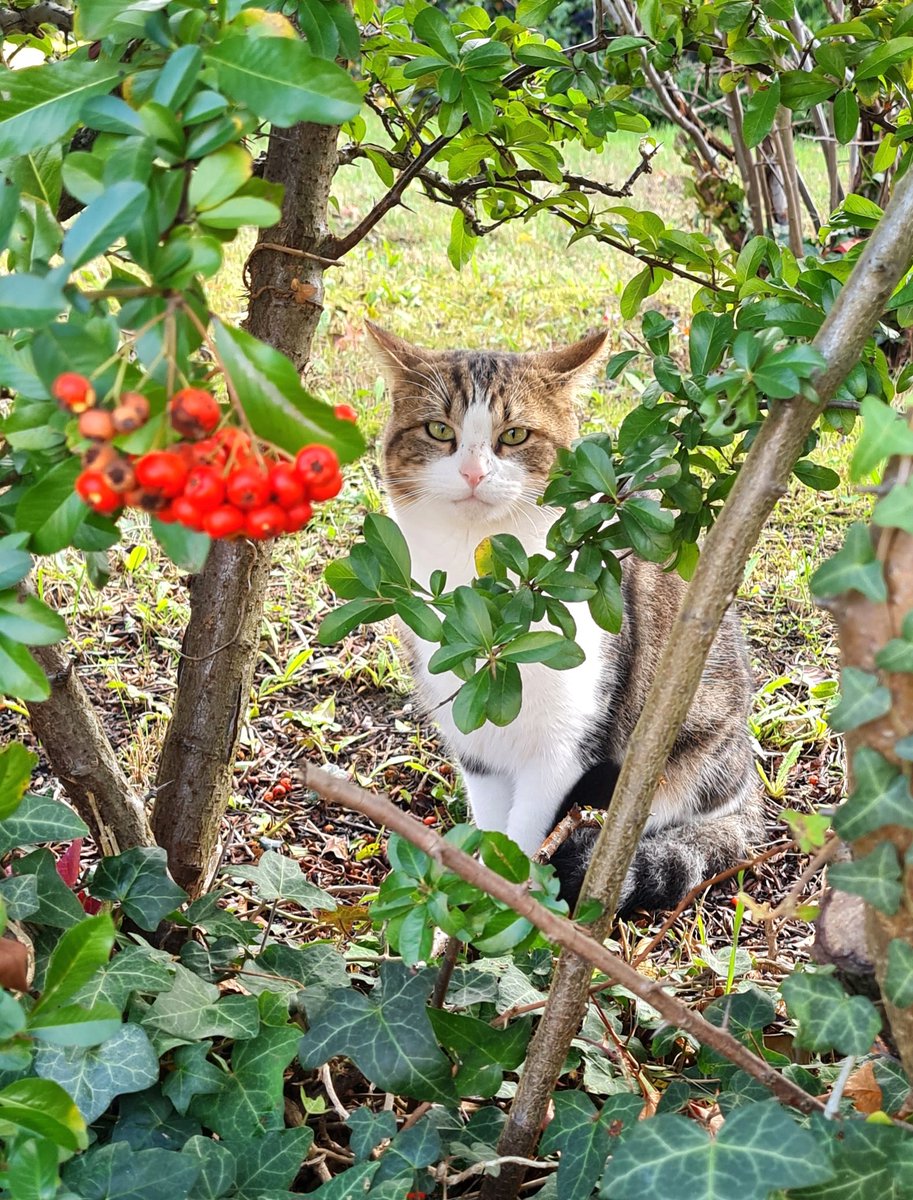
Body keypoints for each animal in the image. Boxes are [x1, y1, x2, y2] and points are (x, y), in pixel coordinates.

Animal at [367, 324, 758, 912]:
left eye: (514, 436)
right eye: (438, 430)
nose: (473, 472)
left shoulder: (565, 741)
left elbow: (524, 837)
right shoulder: (476, 741)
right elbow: (492, 826)